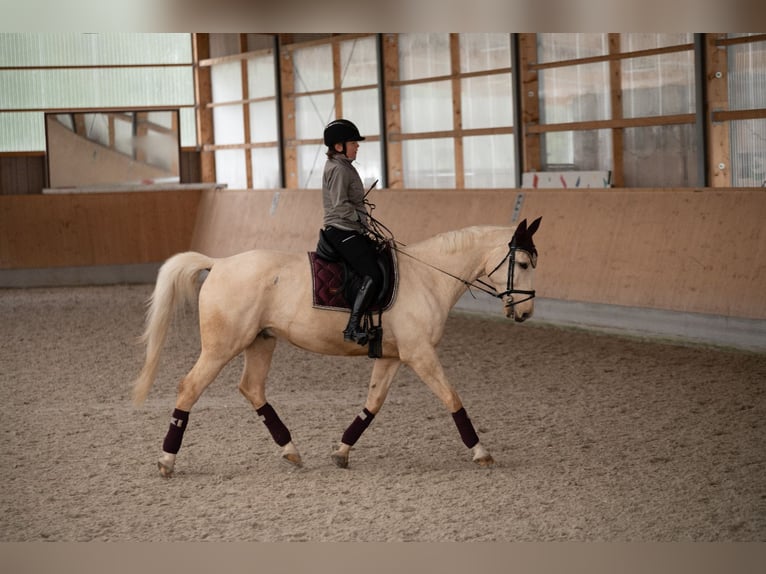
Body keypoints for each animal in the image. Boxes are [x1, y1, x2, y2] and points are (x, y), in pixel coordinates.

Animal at [132, 216, 544, 476]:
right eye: (523, 263)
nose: (525, 312)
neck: (428, 276)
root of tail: (218, 263)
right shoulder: (420, 354)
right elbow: (452, 398)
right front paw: (481, 452)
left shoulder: (393, 356)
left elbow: (373, 403)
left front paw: (341, 452)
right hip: (222, 347)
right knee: (189, 388)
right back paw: (167, 461)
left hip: (261, 342)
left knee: (251, 389)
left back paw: (291, 451)